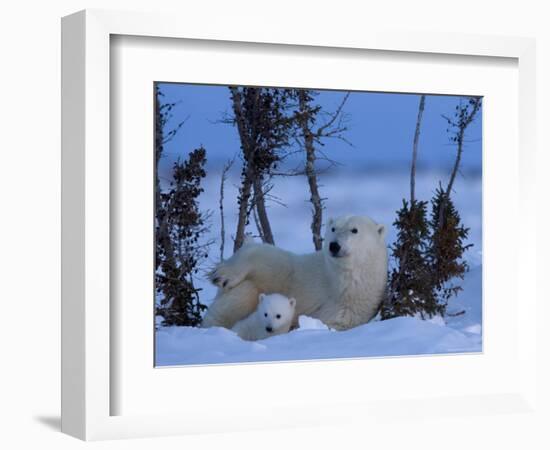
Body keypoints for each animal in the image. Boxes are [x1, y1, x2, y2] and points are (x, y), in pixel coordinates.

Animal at [202, 214, 388, 330]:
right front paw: (222, 275)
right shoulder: (302, 273)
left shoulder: (350, 309)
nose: (334, 245)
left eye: (354, 230)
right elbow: (272, 259)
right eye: (333, 229)